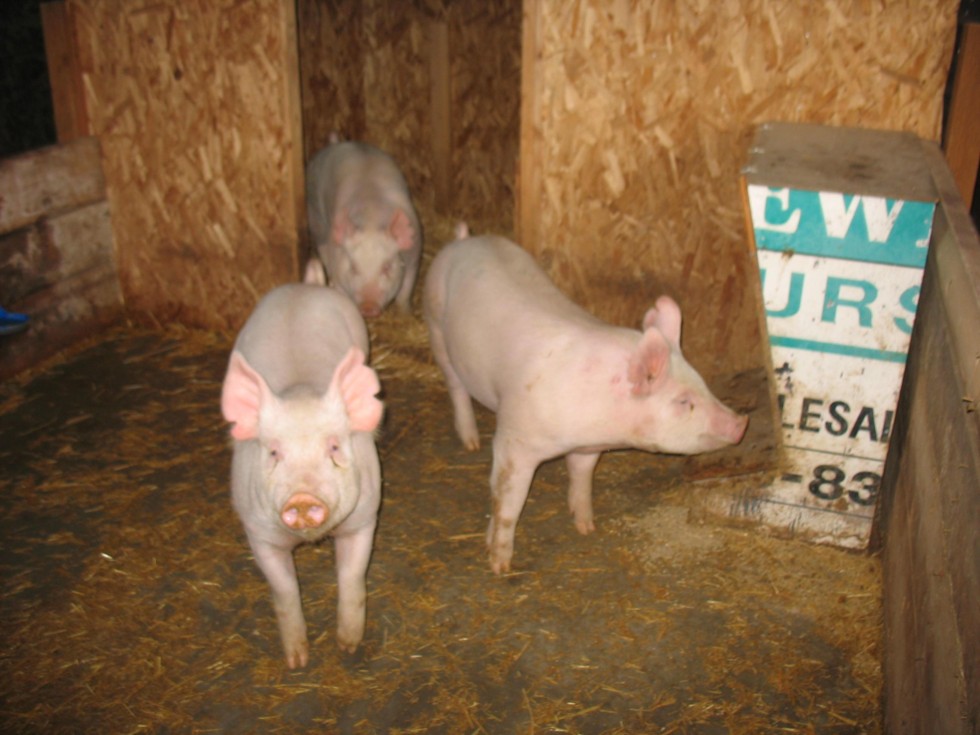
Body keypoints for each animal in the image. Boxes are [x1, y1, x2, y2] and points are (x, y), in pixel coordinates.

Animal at [221, 284, 384, 668]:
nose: (303, 496)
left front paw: (348, 646)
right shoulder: (258, 532)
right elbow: (284, 589)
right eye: (273, 453)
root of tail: (302, 286)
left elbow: (352, 576)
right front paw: (297, 661)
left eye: (334, 448)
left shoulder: (365, 517)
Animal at [306, 141, 422, 317]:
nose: (368, 306)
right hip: (315, 216)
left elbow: (405, 293)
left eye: (386, 267)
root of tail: (335, 143)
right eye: (353, 267)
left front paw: (406, 314)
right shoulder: (338, 267)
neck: (370, 221)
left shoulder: (414, 259)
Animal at [424, 232, 748, 574]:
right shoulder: (514, 440)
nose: (741, 422)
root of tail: (464, 240)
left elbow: (582, 476)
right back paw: (470, 442)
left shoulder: (588, 448)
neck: (597, 424)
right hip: (435, 324)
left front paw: (586, 527)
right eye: (684, 401)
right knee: (455, 384)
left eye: (702, 382)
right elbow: (507, 499)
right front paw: (500, 565)